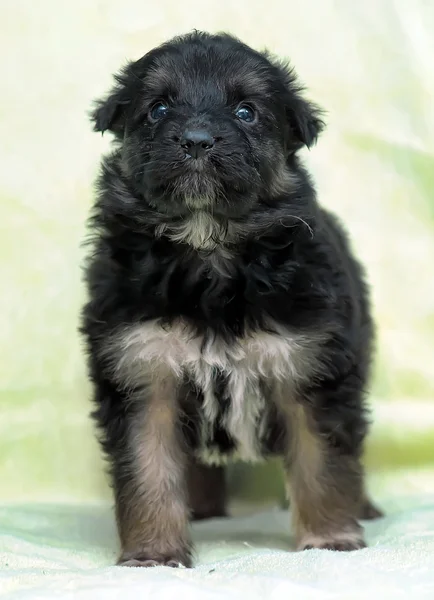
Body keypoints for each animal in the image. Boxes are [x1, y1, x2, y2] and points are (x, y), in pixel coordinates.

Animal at [79, 31, 382, 568]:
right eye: (158, 109)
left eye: (246, 112)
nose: (197, 140)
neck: (209, 248)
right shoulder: (142, 371)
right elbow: (148, 466)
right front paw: (154, 552)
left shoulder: (311, 368)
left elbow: (323, 461)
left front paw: (329, 538)